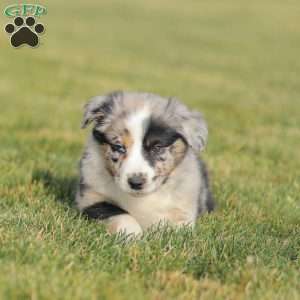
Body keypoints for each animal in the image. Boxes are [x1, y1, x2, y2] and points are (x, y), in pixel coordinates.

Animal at [76, 90, 214, 236]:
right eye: (119, 147)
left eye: (157, 147)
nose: (136, 182)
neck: (140, 199)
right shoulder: (90, 197)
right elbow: (120, 215)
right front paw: (132, 235)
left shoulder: (183, 206)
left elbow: (179, 229)